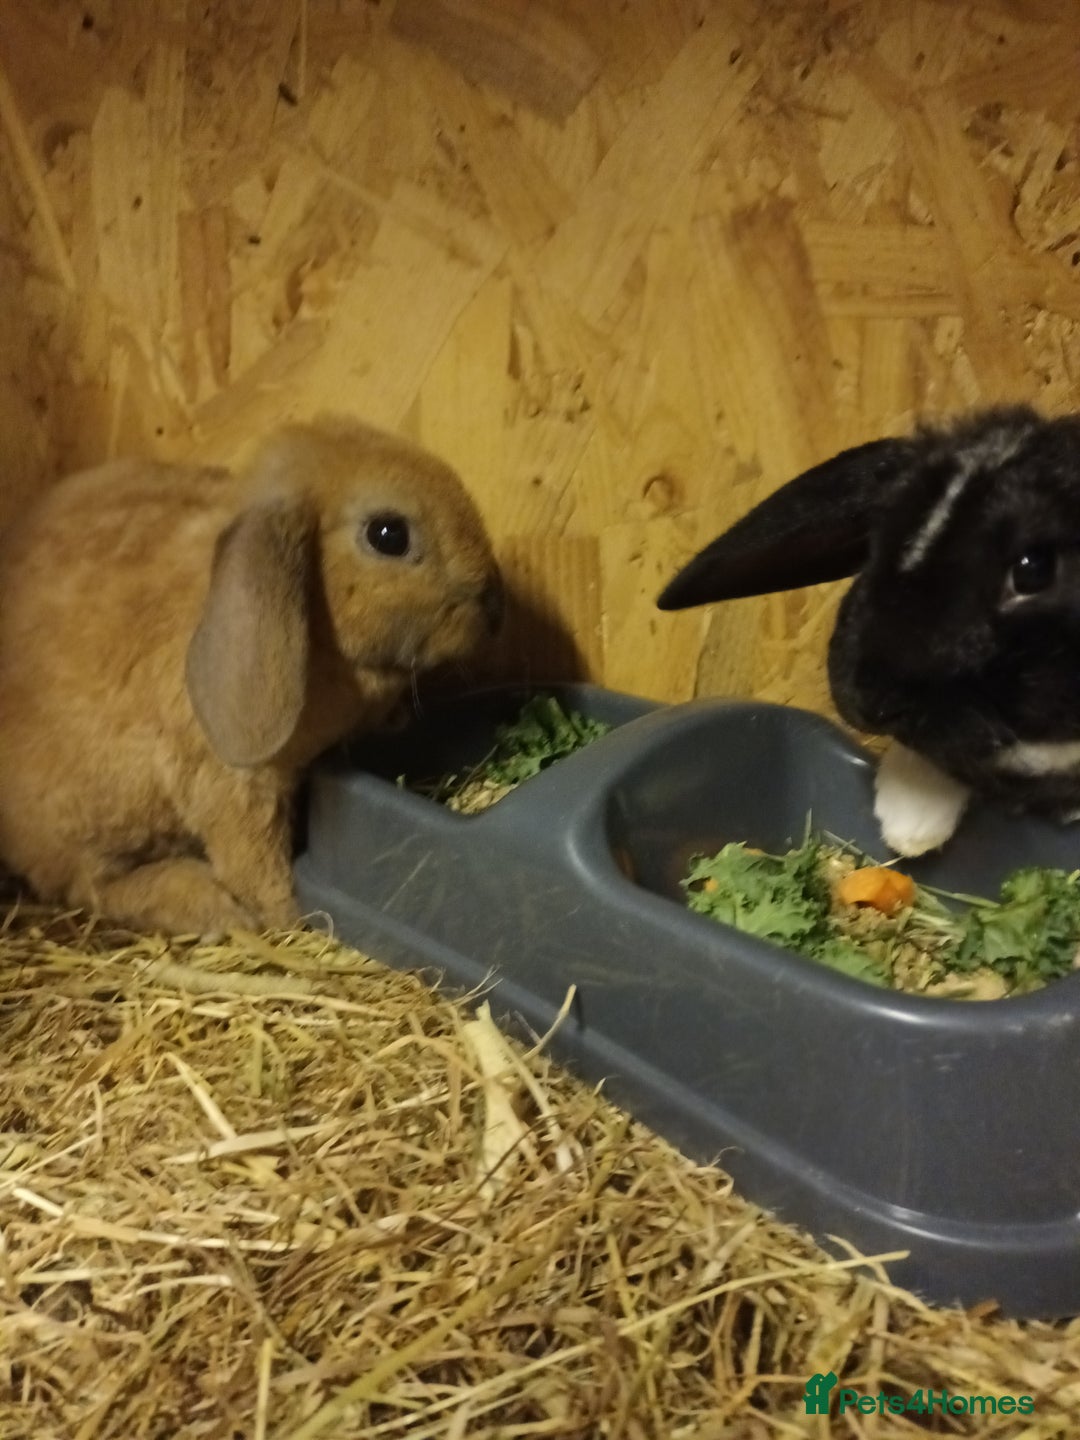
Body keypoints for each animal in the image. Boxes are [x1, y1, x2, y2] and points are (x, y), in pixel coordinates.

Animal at [0, 414, 503, 935]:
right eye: (389, 535)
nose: (496, 606)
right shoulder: (233, 787)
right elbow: (254, 859)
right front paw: (289, 915)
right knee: (92, 885)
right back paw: (202, 900)